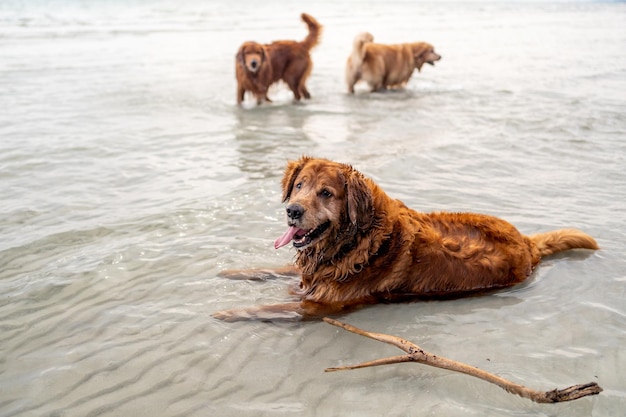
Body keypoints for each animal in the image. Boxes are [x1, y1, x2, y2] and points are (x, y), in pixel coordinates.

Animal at [212, 157, 596, 322]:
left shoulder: (321, 305)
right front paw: (235, 273)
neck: (356, 241)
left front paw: (227, 312)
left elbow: (269, 307)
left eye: (325, 193)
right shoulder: (313, 275)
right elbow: (274, 268)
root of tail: (527, 242)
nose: (292, 210)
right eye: (299, 186)